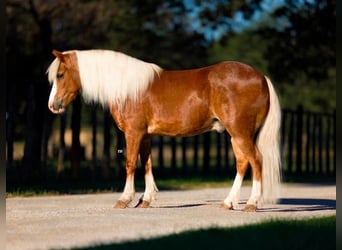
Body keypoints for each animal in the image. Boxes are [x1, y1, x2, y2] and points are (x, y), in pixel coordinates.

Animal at [46, 48, 280, 211]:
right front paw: (146, 199)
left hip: (241, 134)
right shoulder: (146, 136)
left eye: (60, 75)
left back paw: (251, 203)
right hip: (236, 135)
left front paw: (124, 199)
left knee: (256, 160)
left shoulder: (133, 133)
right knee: (242, 163)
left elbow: (130, 164)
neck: (127, 88)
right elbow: (147, 164)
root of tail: (261, 77)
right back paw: (228, 202)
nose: (52, 106)